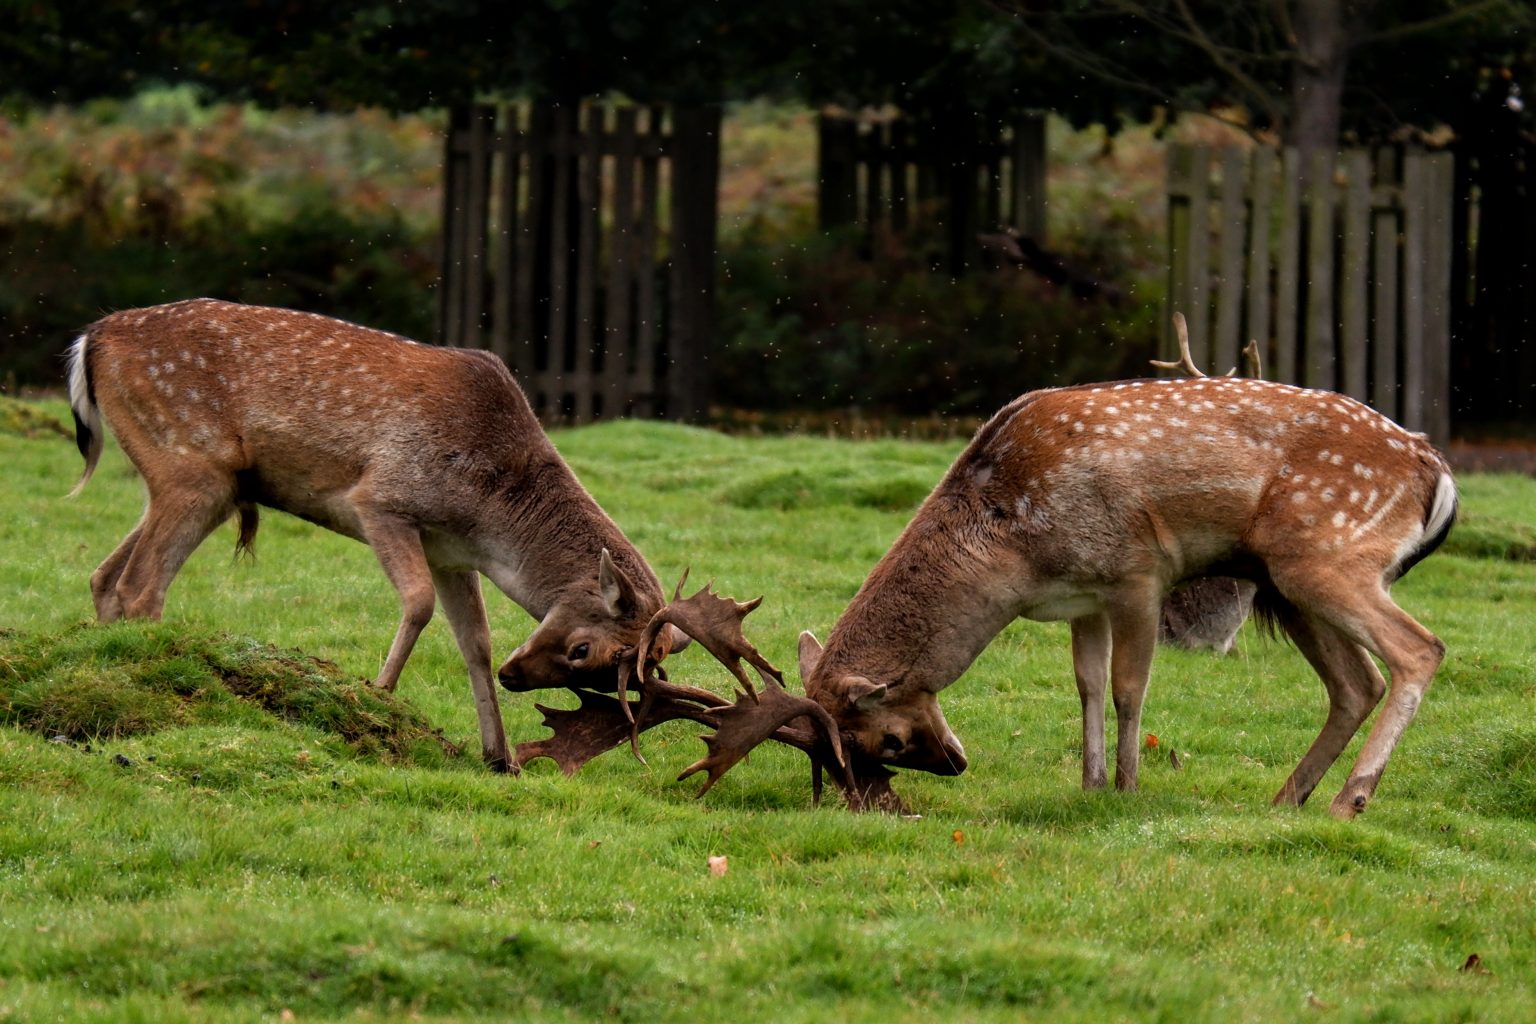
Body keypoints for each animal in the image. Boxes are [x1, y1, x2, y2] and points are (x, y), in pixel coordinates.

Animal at [67, 296, 697, 767]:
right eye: (584, 649)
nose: (515, 677)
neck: (489, 512)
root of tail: (90, 340)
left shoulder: (452, 554)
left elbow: (475, 641)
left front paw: (500, 758)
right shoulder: (382, 500)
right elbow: (417, 603)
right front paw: (379, 698)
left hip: (207, 483)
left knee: (103, 575)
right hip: (190, 461)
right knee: (141, 586)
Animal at [798, 373, 1456, 822]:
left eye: (888, 739)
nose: (955, 763)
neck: (1015, 548)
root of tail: (1436, 469)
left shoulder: (1140, 572)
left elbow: (1128, 686)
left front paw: (1127, 786)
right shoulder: (1083, 598)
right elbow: (1087, 685)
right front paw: (1089, 784)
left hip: (1327, 553)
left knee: (1421, 649)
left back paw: (1351, 798)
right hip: (1285, 581)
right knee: (1357, 683)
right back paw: (1287, 797)